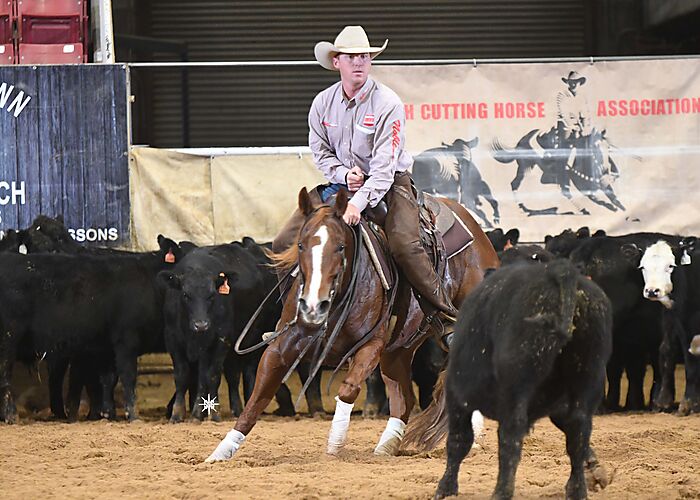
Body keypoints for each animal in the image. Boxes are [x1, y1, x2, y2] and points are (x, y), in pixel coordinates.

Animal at [205, 186, 499, 462]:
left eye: (340, 247)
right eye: (300, 245)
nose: (313, 306)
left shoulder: (370, 346)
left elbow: (348, 389)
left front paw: (334, 446)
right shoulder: (280, 346)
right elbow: (257, 397)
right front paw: (219, 453)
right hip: (399, 349)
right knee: (404, 397)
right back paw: (385, 447)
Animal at [403, 259, 612, 499]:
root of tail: (560, 272)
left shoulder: (458, 396)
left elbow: (459, 440)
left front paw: (446, 488)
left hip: (515, 389)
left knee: (510, 434)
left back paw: (501, 491)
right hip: (586, 378)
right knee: (579, 430)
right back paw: (577, 489)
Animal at [491, 128, 625, 215]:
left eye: (608, 147)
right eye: (595, 147)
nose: (607, 170)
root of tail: (522, 140)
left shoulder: (601, 183)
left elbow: (613, 197)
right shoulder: (580, 185)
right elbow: (596, 199)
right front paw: (610, 207)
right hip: (525, 168)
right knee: (515, 184)